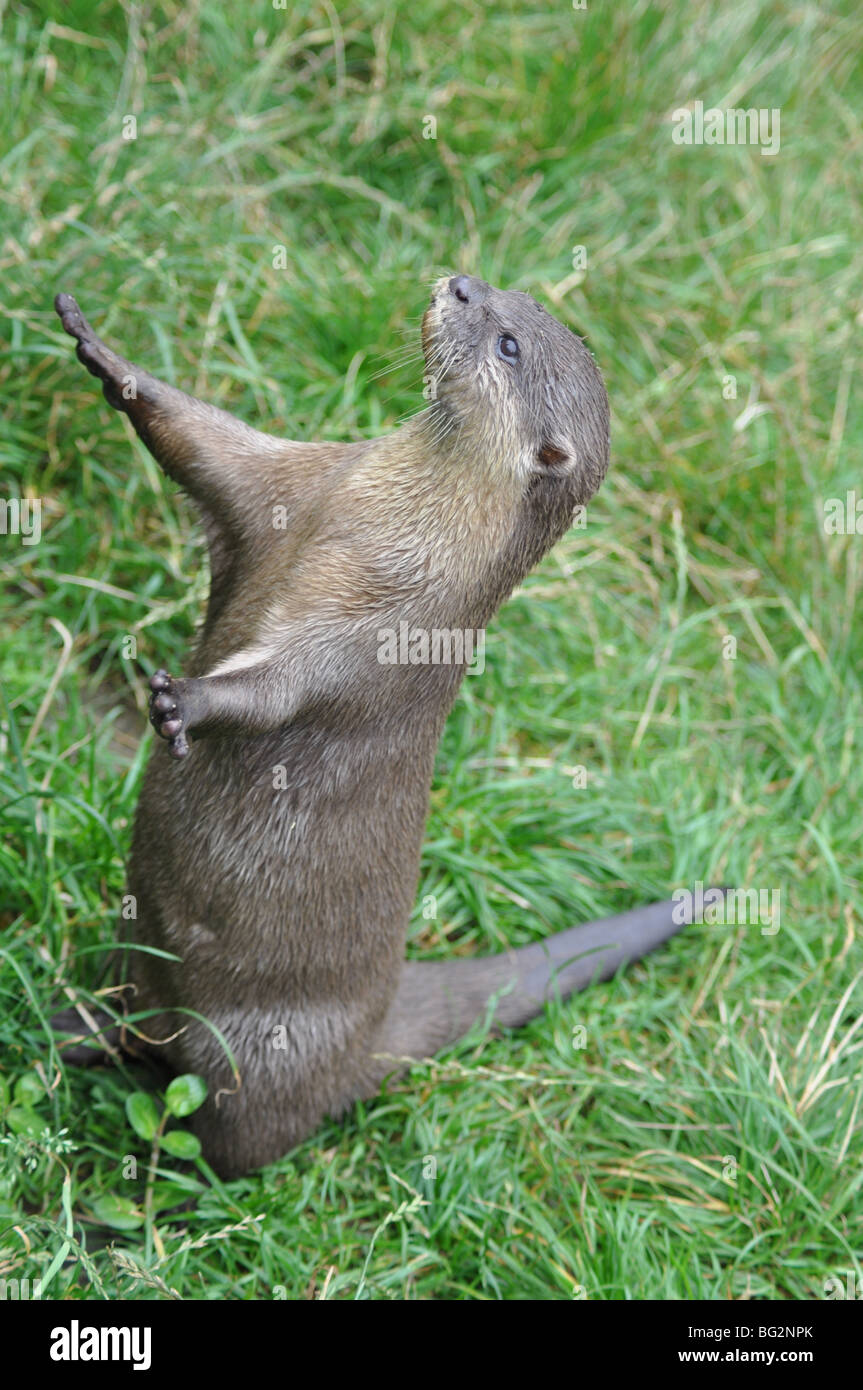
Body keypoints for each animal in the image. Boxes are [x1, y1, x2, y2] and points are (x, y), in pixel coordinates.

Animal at [54, 276, 703, 1179]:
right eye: (509, 292)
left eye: (506, 344)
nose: (460, 283)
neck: (377, 523)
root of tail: (374, 1025)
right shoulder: (292, 478)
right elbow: (210, 447)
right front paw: (106, 357)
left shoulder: (382, 633)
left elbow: (280, 688)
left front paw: (186, 703)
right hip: (132, 944)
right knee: (133, 1020)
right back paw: (71, 1030)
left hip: (262, 1051)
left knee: (229, 1135)